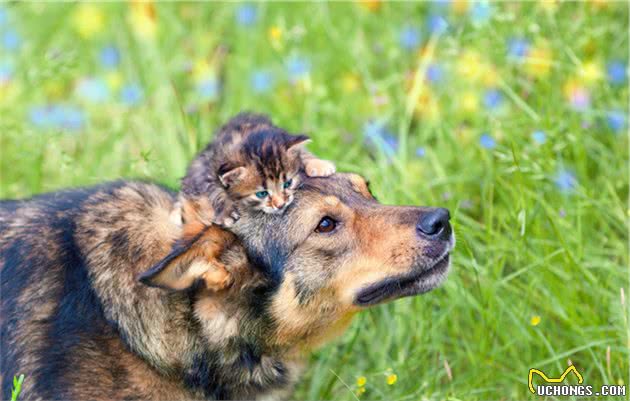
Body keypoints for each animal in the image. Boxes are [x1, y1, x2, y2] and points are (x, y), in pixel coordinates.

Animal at [180, 112, 338, 227]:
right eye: (262, 194)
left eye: (288, 183)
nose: (280, 205)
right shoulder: (207, 169)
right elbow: (214, 190)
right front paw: (226, 213)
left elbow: (303, 152)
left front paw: (318, 164)